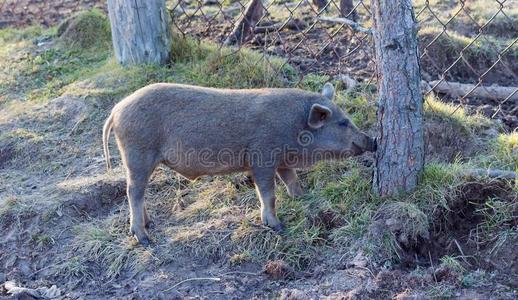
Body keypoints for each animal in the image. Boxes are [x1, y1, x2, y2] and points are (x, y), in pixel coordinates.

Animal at [102, 82, 378, 246]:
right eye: (342, 123)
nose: (373, 140)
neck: (294, 127)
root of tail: (116, 110)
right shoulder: (262, 157)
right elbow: (268, 193)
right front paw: (278, 226)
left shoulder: (281, 161)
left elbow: (291, 180)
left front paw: (303, 197)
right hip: (138, 155)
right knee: (132, 191)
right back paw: (145, 238)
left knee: (138, 192)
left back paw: (149, 225)